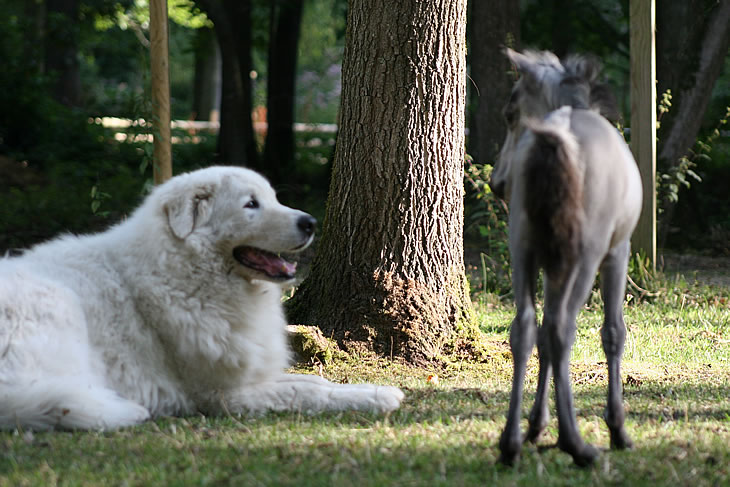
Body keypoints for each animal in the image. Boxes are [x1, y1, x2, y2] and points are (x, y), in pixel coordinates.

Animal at [0, 167, 400, 430]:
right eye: (251, 204)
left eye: (273, 198)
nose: (310, 223)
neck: (184, 268)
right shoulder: (224, 395)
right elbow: (306, 394)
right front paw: (379, 396)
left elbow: (314, 383)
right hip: (58, 303)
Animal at [490, 50, 644, 468]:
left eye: (511, 114)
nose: (497, 184)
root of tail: (557, 136)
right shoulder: (617, 253)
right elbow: (613, 333)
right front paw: (617, 428)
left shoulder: (548, 266)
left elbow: (540, 335)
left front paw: (536, 425)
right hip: (587, 258)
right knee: (562, 329)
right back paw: (576, 444)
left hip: (523, 252)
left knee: (526, 328)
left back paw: (510, 444)